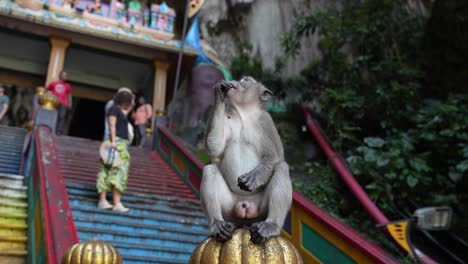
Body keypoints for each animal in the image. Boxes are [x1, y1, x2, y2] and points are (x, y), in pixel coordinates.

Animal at [201, 76, 292, 243]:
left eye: (245, 80)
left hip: (261, 210)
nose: (235, 81)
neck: (244, 114)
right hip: (229, 208)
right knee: (210, 169)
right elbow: (214, 147)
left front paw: (253, 177)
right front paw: (219, 93)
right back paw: (217, 224)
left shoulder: (266, 122)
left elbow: (274, 156)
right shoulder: (226, 118)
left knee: (282, 167)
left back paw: (271, 225)